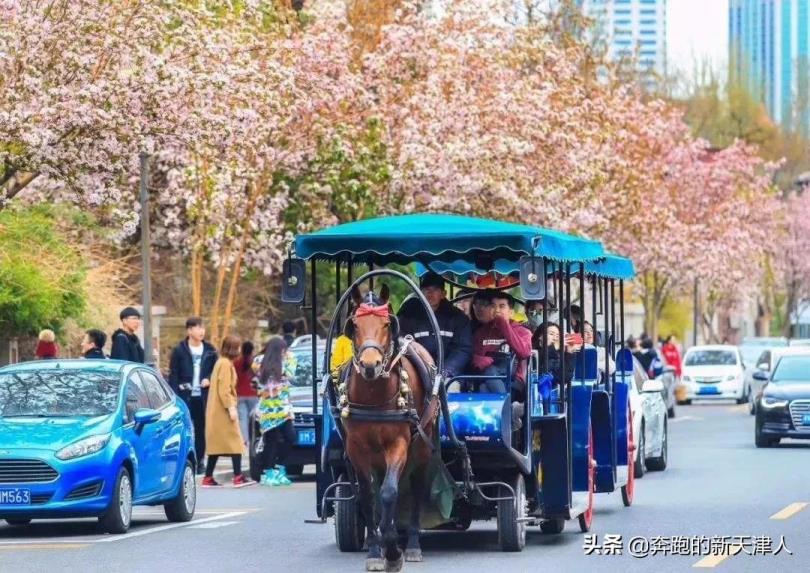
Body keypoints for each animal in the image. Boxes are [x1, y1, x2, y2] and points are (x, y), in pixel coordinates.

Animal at [334, 284, 436, 568]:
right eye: (354, 325)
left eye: (387, 324)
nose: (371, 366)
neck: (373, 395)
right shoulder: (356, 448)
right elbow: (368, 496)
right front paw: (375, 550)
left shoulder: (398, 443)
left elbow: (389, 492)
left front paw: (392, 550)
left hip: (423, 443)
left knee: (416, 486)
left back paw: (411, 544)